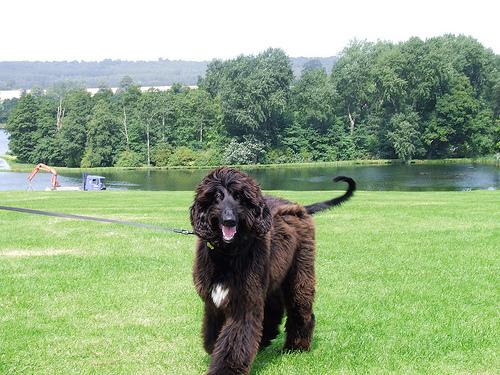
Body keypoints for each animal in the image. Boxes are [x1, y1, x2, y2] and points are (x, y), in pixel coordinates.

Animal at [188, 169, 356, 374]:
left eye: (239, 196)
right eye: (217, 196)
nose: (229, 220)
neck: (227, 254)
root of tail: (299, 207)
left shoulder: (244, 301)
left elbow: (233, 343)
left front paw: (224, 369)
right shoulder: (214, 302)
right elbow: (213, 335)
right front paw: (213, 349)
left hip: (299, 271)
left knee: (301, 308)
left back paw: (296, 346)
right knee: (274, 308)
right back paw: (266, 339)